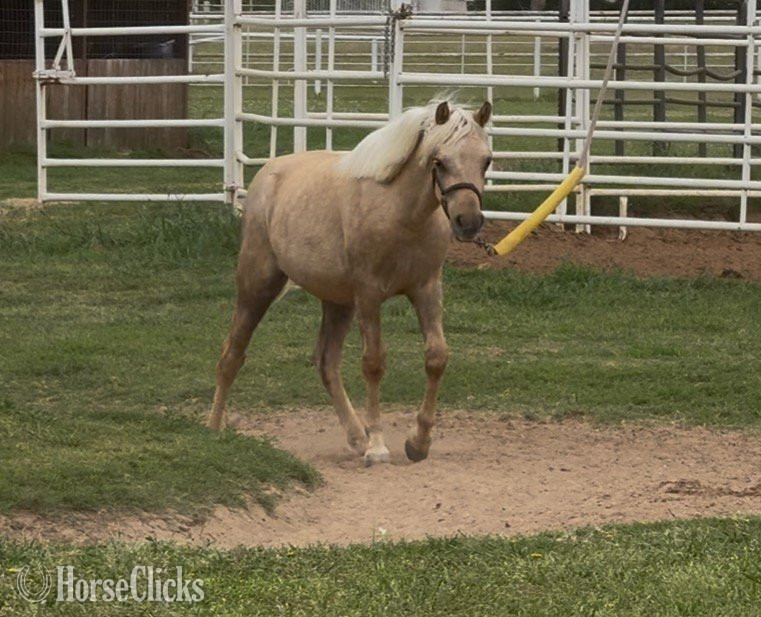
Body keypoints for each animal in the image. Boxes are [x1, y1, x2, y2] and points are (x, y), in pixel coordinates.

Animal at [207, 100, 492, 465]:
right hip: (257, 285)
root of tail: (268, 174)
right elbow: (373, 364)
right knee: (232, 354)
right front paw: (378, 446)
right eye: (439, 161)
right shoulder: (369, 294)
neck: (401, 214)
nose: (468, 222)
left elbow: (436, 357)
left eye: (486, 160)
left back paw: (356, 436)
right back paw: (213, 428)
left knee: (327, 362)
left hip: (338, 303)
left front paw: (419, 442)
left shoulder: (427, 290)